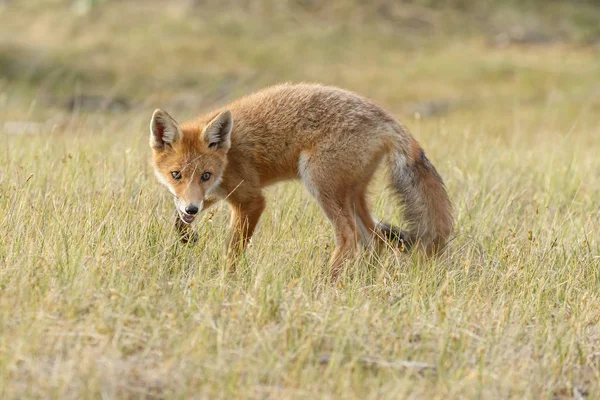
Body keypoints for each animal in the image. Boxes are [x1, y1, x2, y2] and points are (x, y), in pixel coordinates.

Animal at [150, 83, 454, 278]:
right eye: (176, 175)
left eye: (206, 175)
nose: (192, 209)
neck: (228, 155)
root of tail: (387, 119)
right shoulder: (215, 193)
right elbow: (179, 217)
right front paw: (186, 233)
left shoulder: (251, 199)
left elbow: (233, 250)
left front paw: (227, 279)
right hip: (353, 195)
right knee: (376, 237)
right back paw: (364, 279)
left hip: (321, 183)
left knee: (350, 237)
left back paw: (327, 281)